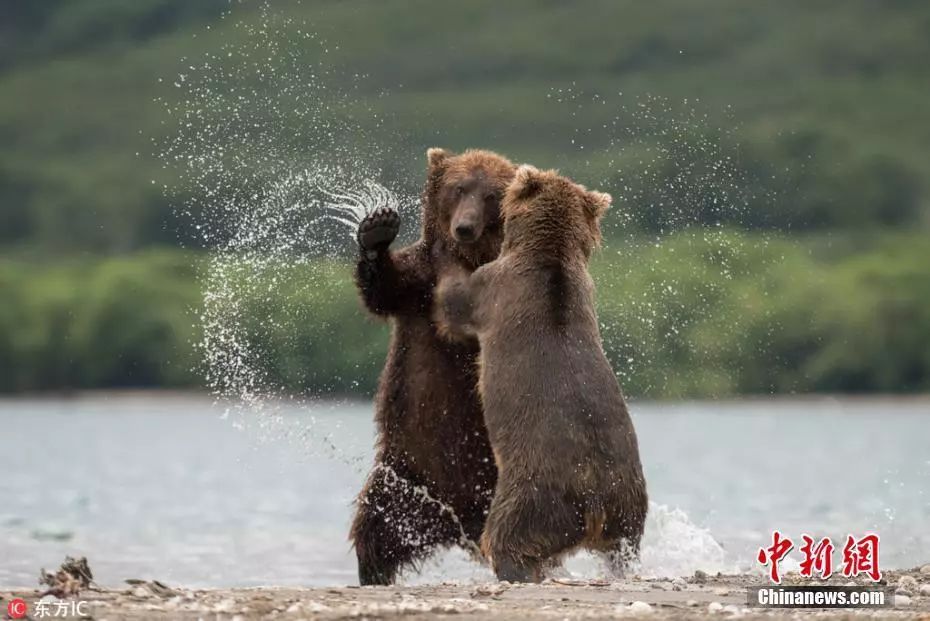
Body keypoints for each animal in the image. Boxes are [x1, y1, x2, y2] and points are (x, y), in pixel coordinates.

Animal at [348, 148, 516, 584]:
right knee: (376, 527)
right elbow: (383, 290)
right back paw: (373, 573)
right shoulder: (416, 283)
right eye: (458, 188)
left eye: (491, 195)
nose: (464, 228)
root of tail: (459, 519)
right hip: (407, 476)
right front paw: (376, 229)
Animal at [436, 165, 644, 580]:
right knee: (624, 546)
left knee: (507, 536)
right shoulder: (584, 286)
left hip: (531, 491)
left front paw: (442, 252)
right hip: (627, 499)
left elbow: (453, 302)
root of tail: (594, 501)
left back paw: (511, 568)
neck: (552, 253)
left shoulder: (493, 288)